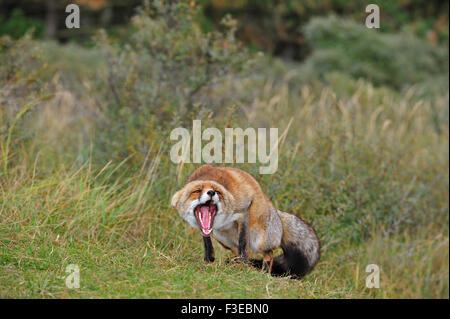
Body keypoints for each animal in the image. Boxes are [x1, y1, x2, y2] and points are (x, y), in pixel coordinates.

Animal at [169, 165, 320, 278]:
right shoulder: (207, 229)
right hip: (223, 238)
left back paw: (263, 272)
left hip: (260, 240)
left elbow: (243, 243)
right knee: (236, 250)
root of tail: (276, 212)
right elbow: (207, 242)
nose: (211, 193)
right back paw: (238, 265)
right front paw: (209, 259)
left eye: (217, 191)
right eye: (197, 191)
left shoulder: (244, 211)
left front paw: (243, 264)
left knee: (268, 254)